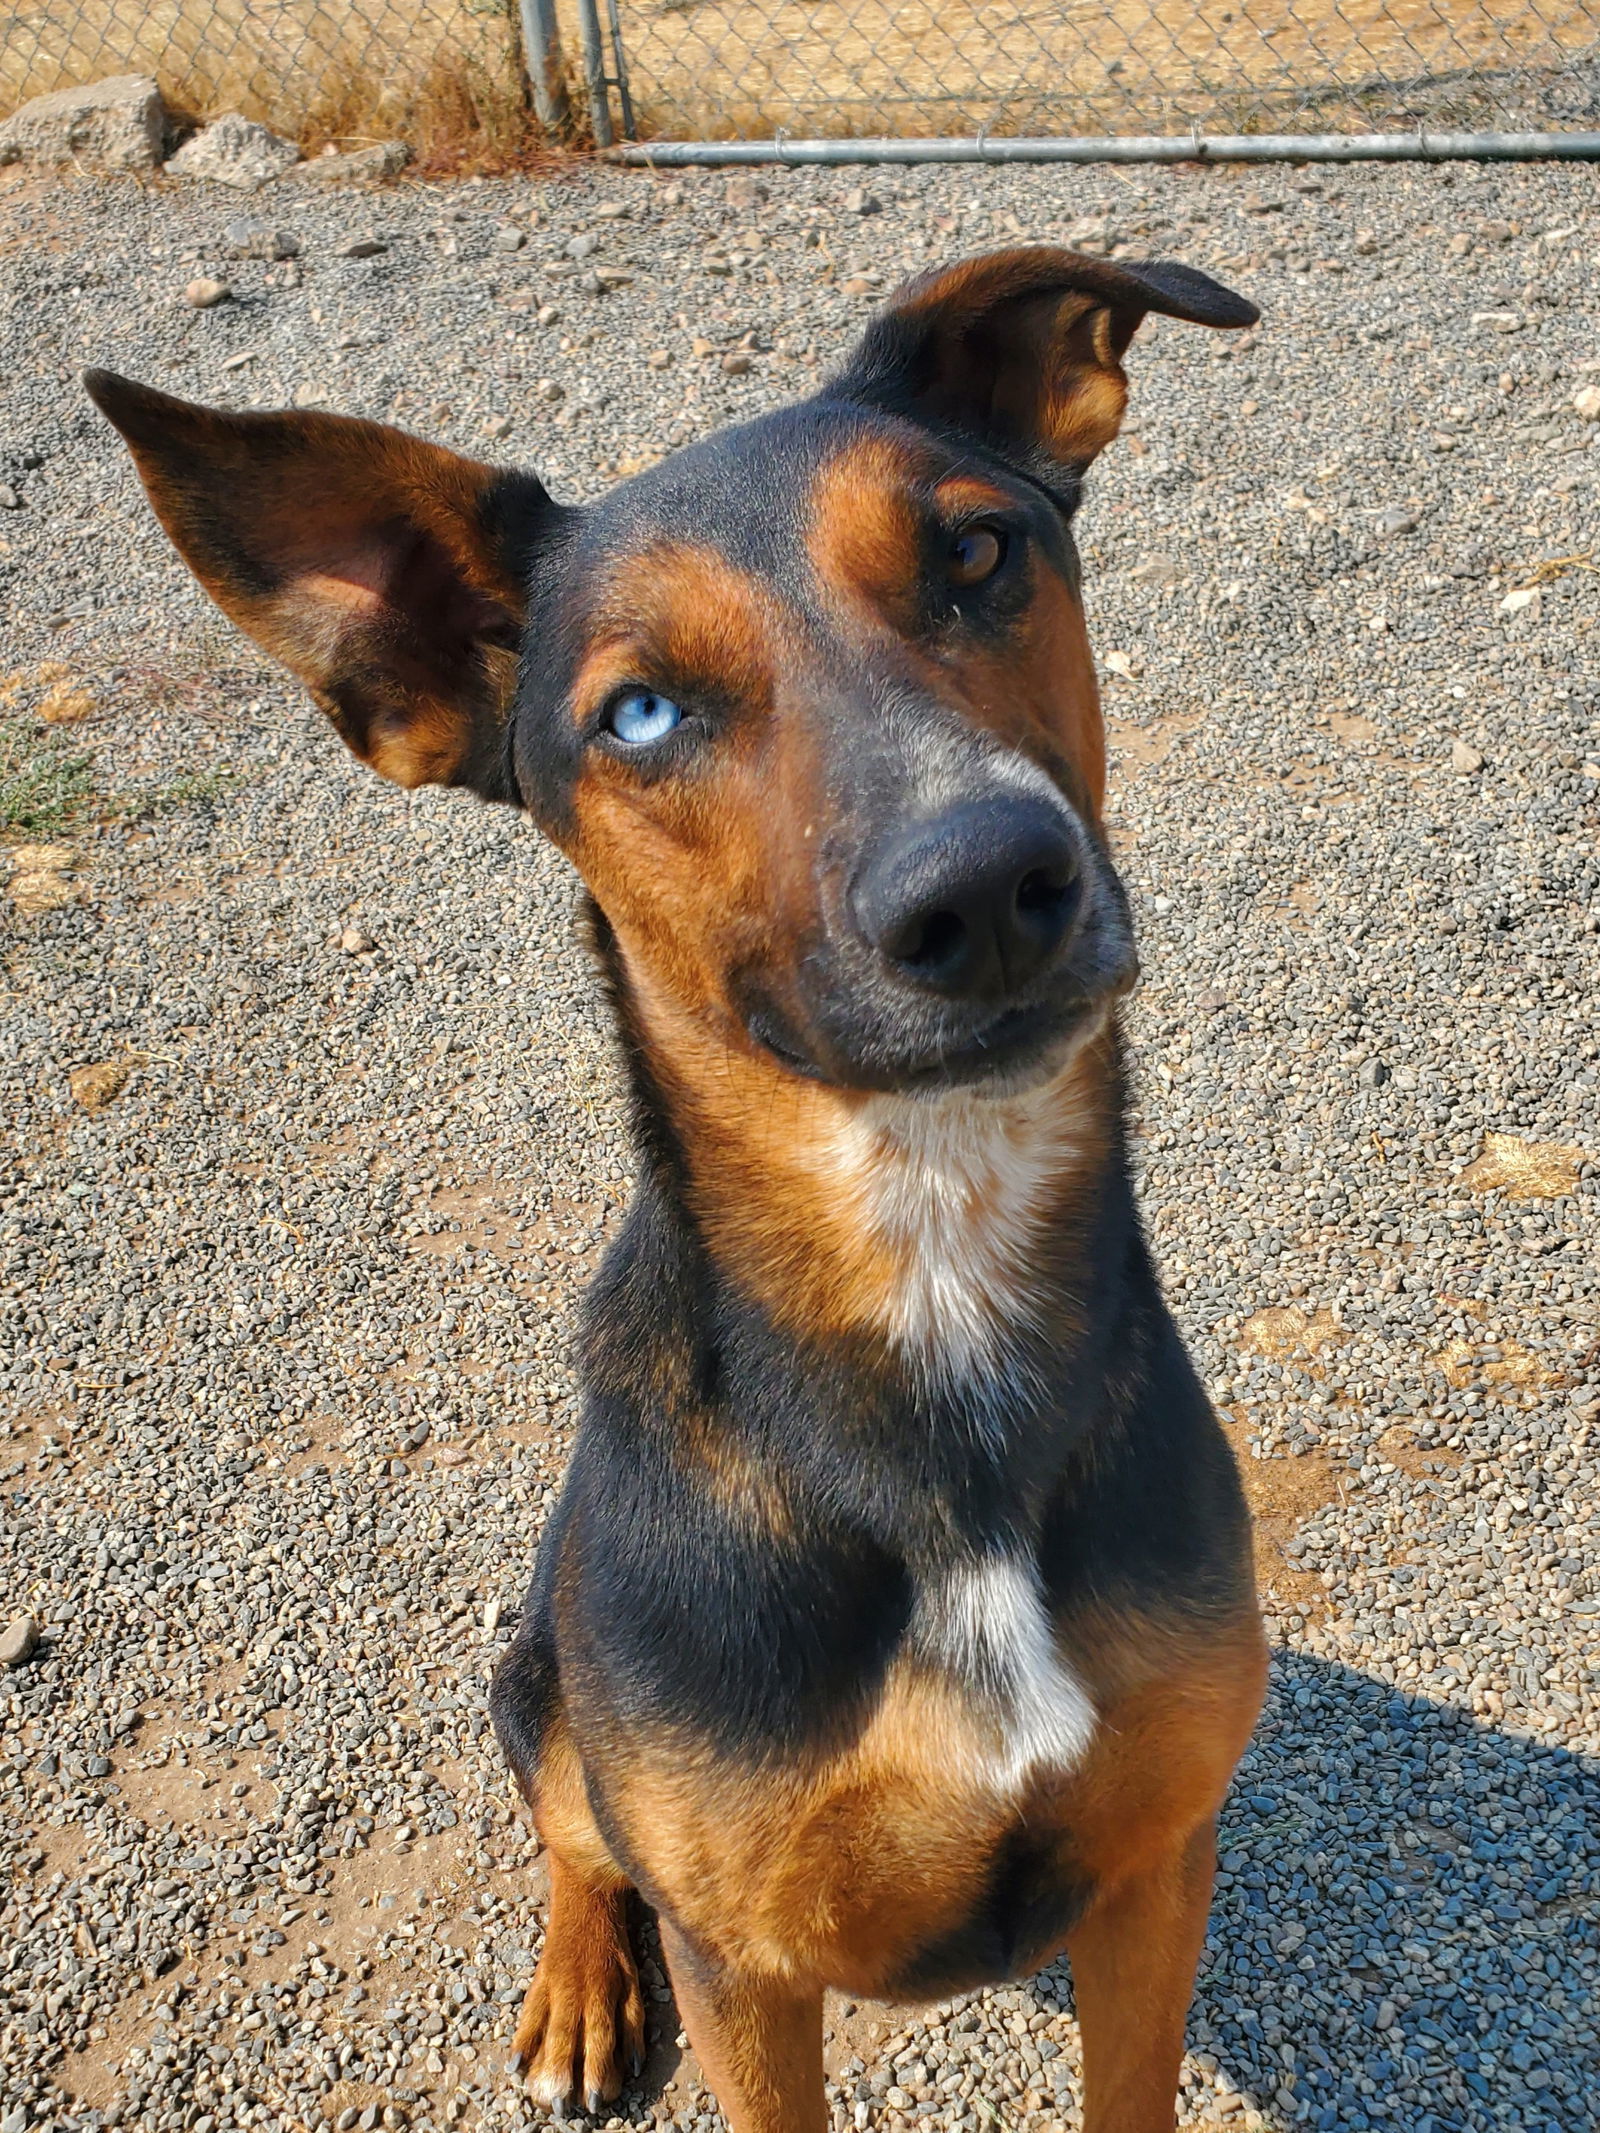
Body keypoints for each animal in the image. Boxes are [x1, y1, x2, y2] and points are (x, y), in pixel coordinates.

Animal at [87, 245, 1271, 2133]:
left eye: (977, 554)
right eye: (638, 713)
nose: (986, 885)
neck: (927, 1251)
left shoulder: (1161, 1866)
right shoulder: (746, 1960)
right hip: (541, 1684)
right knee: (577, 1836)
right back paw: (578, 1987)